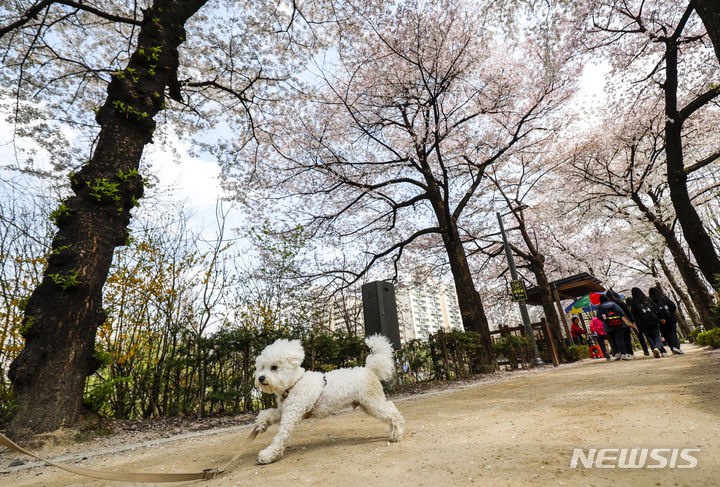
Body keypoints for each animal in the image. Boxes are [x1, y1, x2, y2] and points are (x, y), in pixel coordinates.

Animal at [253, 336, 404, 466]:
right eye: (261, 367)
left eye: (274, 367)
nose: (260, 378)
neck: (294, 383)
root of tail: (369, 369)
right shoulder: (286, 410)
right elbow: (269, 414)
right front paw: (262, 423)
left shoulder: (292, 415)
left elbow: (280, 436)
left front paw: (268, 455)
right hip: (367, 405)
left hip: (373, 402)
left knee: (393, 413)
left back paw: (397, 434)